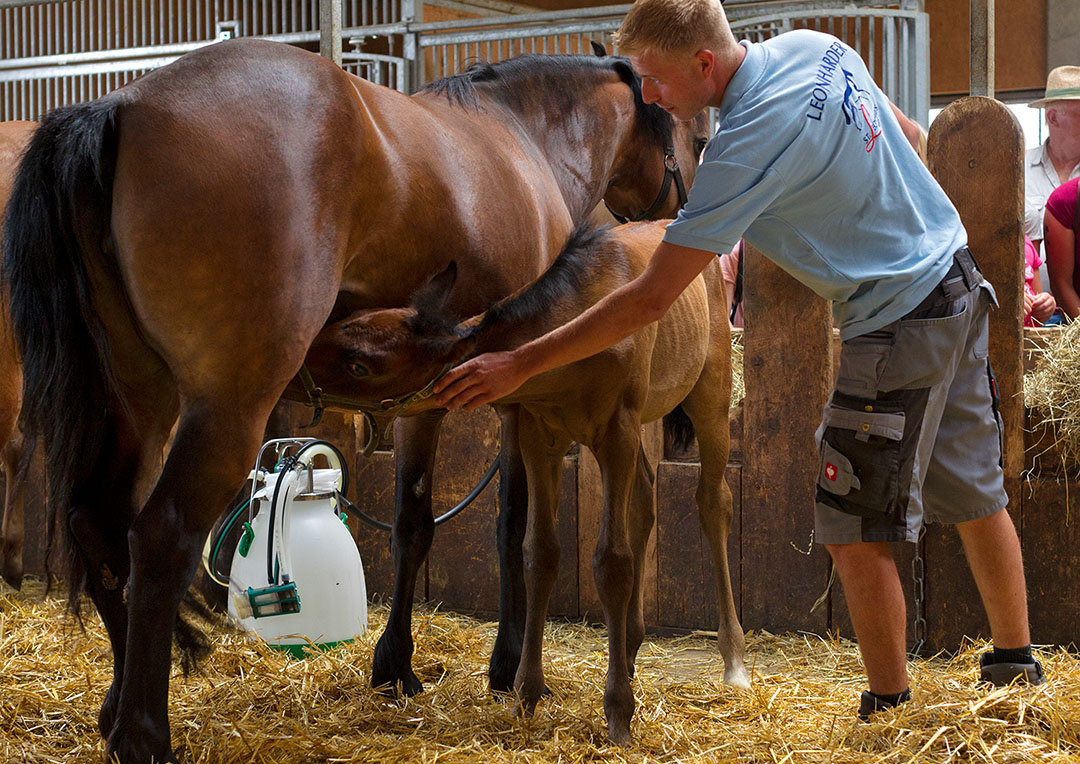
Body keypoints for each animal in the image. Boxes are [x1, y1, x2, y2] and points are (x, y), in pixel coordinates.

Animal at [300, 221, 747, 747]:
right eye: (348, 322)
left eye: (359, 365)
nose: (294, 365)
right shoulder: (540, 435)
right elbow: (539, 554)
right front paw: (526, 695)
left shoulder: (615, 432)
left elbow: (611, 562)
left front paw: (618, 714)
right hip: (644, 424)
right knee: (645, 500)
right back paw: (631, 649)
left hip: (710, 393)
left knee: (712, 502)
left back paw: (733, 661)